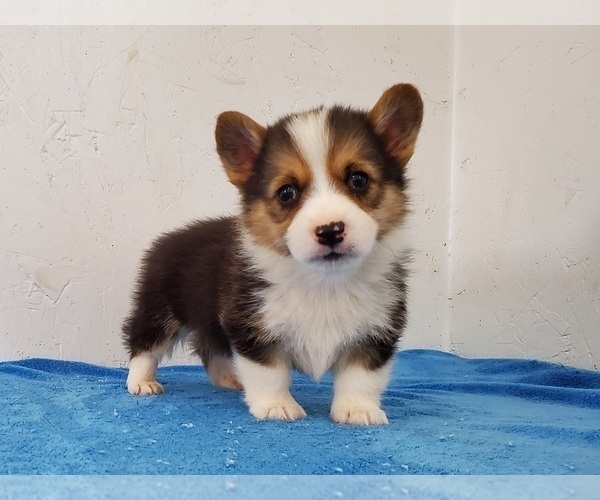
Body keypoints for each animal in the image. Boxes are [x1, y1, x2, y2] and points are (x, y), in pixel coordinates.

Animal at [123, 83, 422, 426]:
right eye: (287, 193)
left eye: (358, 179)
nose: (330, 230)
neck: (324, 282)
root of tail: (170, 237)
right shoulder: (252, 326)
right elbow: (270, 373)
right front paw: (276, 406)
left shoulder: (376, 331)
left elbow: (361, 377)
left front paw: (358, 410)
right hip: (160, 309)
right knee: (145, 343)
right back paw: (142, 382)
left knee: (211, 347)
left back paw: (228, 379)